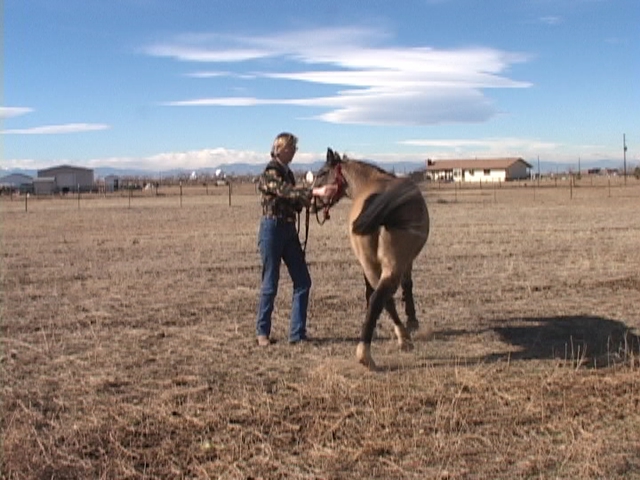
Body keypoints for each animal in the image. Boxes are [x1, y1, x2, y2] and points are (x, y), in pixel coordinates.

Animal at [311, 148, 430, 369]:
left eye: (322, 173)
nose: (310, 200)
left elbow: (370, 291)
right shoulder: (406, 262)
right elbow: (407, 285)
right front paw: (412, 319)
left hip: (372, 265)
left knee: (384, 299)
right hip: (392, 265)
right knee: (380, 297)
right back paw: (383, 346)